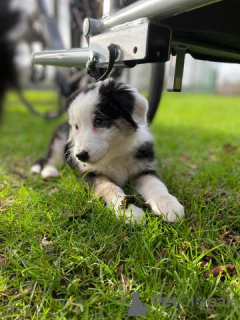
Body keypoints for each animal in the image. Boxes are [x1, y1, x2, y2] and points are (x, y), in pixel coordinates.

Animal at [31, 79, 184, 224]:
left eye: (99, 121)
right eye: (76, 126)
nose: (80, 156)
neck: (114, 151)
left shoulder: (143, 168)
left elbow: (156, 185)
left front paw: (168, 205)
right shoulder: (91, 174)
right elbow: (109, 188)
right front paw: (129, 212)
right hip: (60, 140)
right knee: (52, 158)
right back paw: (49, 172)